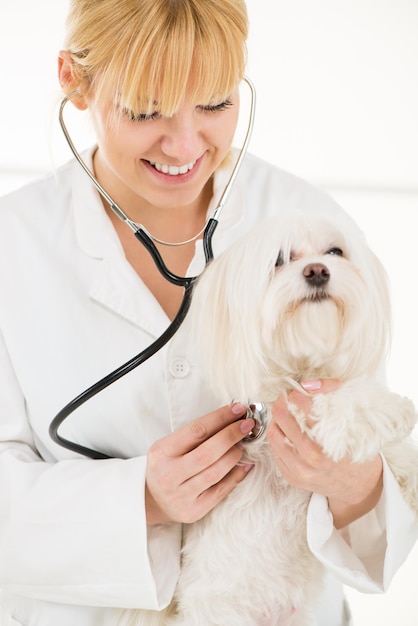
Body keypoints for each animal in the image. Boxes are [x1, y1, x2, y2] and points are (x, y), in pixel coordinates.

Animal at [121, 208, 418, 624]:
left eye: (335, 252)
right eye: (278, 260)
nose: (317, 271)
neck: (302, 365)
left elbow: (394, 455)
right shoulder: (281, 405)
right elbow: (311, 404)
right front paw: (370, 413)